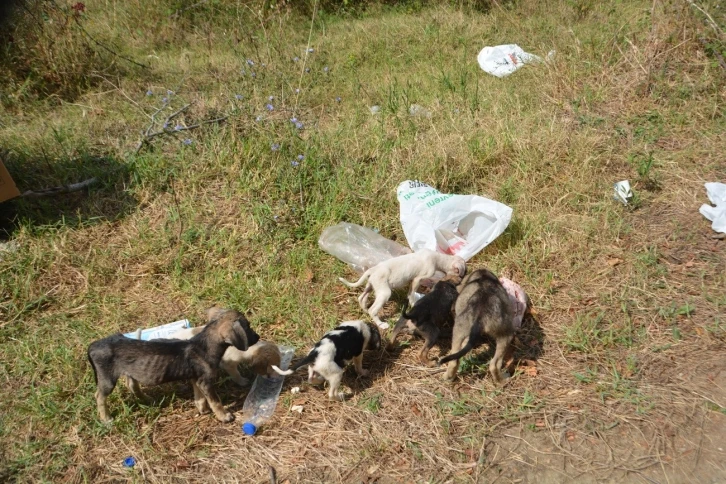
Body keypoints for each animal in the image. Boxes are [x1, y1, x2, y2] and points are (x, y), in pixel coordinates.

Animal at [86, 308, 260, 422]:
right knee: (99, 396)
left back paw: (148, 399)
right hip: (107, 379)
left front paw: (202, 410)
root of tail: (92, 346)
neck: (203, 346)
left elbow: (199, 397)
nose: (258, 337)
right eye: (248, 327)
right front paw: (224, 416)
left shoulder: (196, 379)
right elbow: (215, 401)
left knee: (132, 385)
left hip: (129, 371)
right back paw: (106, 418)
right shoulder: (206, 382)